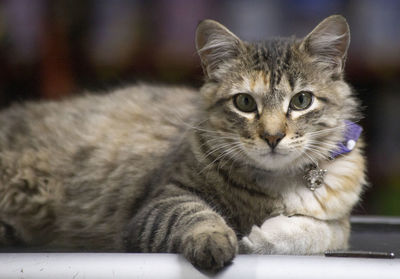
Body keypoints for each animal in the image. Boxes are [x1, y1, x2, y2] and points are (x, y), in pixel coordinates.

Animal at [0, 14, 366, 272]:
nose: (273, 137)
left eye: (301, 100)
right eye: (245, 103)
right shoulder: (162, 200)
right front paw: (217, 241)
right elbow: (197, 216)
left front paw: (262, 237)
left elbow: (320, 232)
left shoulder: (339, 222)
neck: (274, 181)